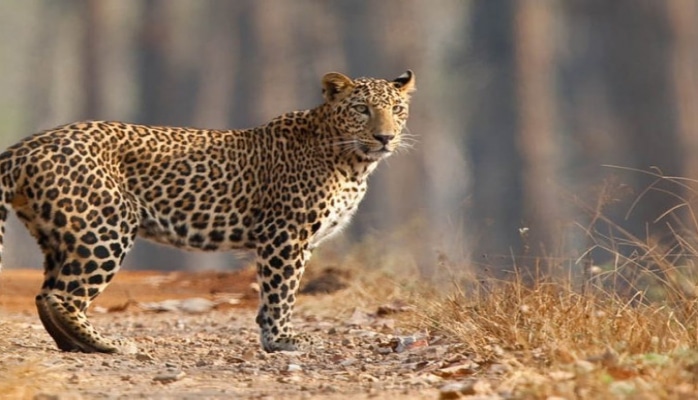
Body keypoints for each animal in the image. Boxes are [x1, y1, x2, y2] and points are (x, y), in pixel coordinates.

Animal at [0, 69, 414, 354]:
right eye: (361, 110)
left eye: (397, 109)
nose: (385, 137)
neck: (352, 162)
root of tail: (27, 145)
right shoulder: (285, 235)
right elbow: (281, 291)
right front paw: (282, 339)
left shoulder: (298, 241)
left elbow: (274, 294)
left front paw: (269, 335)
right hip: (104, 230)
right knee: (62, 297)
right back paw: (109, 345)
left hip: (60, 234)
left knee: (45, 295)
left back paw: (77, 346)